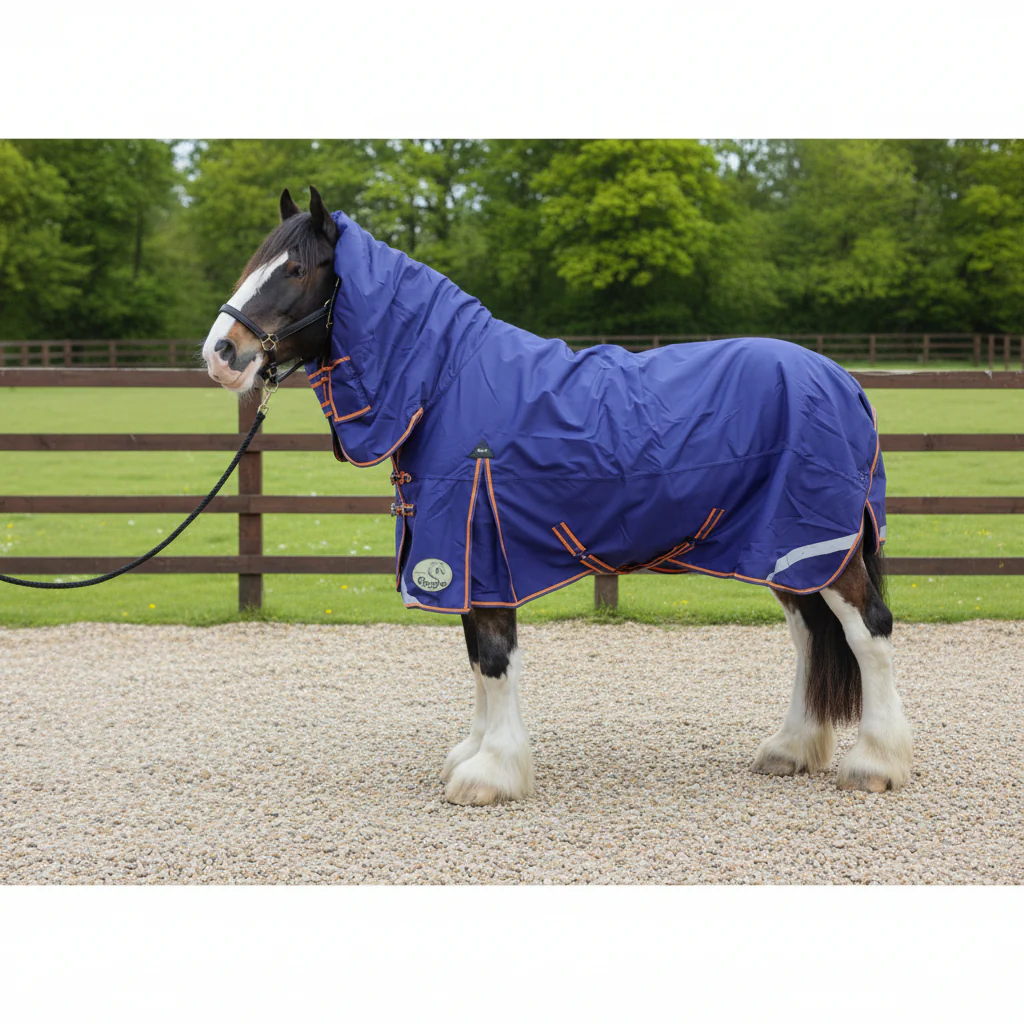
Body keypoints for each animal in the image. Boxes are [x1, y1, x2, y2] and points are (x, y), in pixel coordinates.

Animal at [201, 186, 913, 806]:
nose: (221, 352)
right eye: (253, 263)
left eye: (295, 268)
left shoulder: (476, 544)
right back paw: (790, 749)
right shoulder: (464, 560)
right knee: (810, 637)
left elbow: (493, 657)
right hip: (784, 551)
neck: (445, 382)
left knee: (868, 632)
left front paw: (490, 774)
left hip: (821, 544)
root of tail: (846, 380)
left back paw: (875, 763)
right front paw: (474, 755)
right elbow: (476, 657)